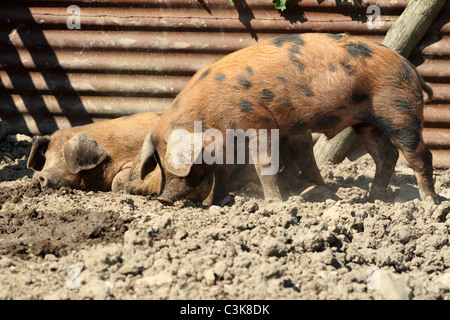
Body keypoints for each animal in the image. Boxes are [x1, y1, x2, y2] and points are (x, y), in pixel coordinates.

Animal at [139, 33, 438, 205]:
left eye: (170, 163)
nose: (162, 200)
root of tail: (411, 68)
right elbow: (223, 172)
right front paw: (214, 203)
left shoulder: (259, 123)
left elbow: (264, 164)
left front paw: (274, 204)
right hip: (365, 123)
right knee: (386, 155)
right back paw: (373, 199)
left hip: (400, 113)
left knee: (420, 155)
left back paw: (429, 203)